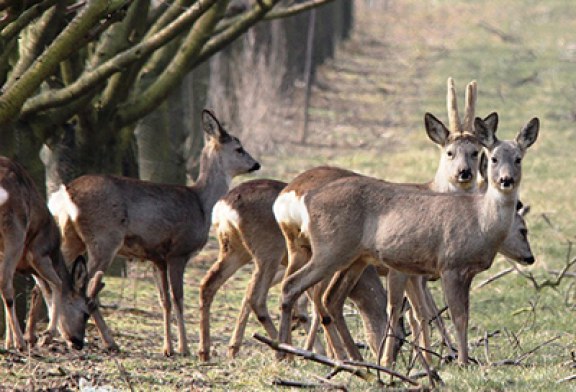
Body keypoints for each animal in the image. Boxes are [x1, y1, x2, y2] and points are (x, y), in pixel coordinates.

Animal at [48, 109, 260, 356]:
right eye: (239, 148)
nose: (256, 164)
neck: (201, 204)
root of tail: (64, 193)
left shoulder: (156, 257)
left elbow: (164, 300)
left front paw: (168, 348)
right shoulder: (179, 251)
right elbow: (178, 298)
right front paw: (184, 348)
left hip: (71, 237)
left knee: (52, 279)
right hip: (103, 239)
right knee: (88, 289)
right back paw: (107, 341)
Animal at [276, 115, 536, 366]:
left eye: (518, 158)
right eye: (493, 158)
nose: (506, 180)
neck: (480, 221)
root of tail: (304, 199)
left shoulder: (450, 272)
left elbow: (439, 314)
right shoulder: (448, 265)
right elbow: (454, 316)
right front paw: (461, 362)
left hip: (351, 258)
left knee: (329, 298)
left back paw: (351, 359)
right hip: (329, 250)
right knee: (293, 285)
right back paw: (286, 353)